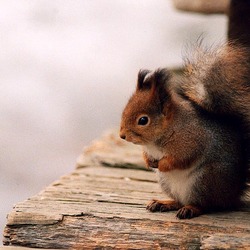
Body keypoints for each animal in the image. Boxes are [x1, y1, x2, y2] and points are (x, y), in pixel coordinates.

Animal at [118, 43, 248, 219]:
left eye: (143, 120)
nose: (122, 135)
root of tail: (232, 194)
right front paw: (148, 161)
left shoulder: (191, 141)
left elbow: (181, 159)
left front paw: (162, 164)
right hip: (167, 183)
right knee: (179, 201)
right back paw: (164, 203)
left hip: (205, 180)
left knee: (207, 205)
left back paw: (191, 209)